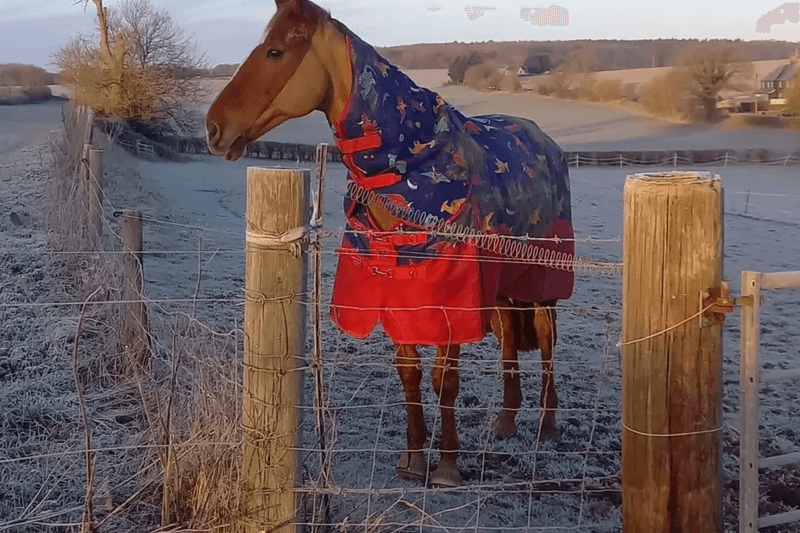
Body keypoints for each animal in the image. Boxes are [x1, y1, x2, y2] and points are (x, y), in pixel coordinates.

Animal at [205, 0, 574, 488]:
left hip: (544, 276)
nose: (213, 128)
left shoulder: (450, 294)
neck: (412, 166)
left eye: (274, 52)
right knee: (511, 339)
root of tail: (545, 142)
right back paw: (506, 422)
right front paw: (413, 459)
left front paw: (448, 466)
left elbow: (444, 379)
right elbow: (410, 374)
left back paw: (547, 426)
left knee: (548, 340)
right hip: (501, 283)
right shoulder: (400, 289)